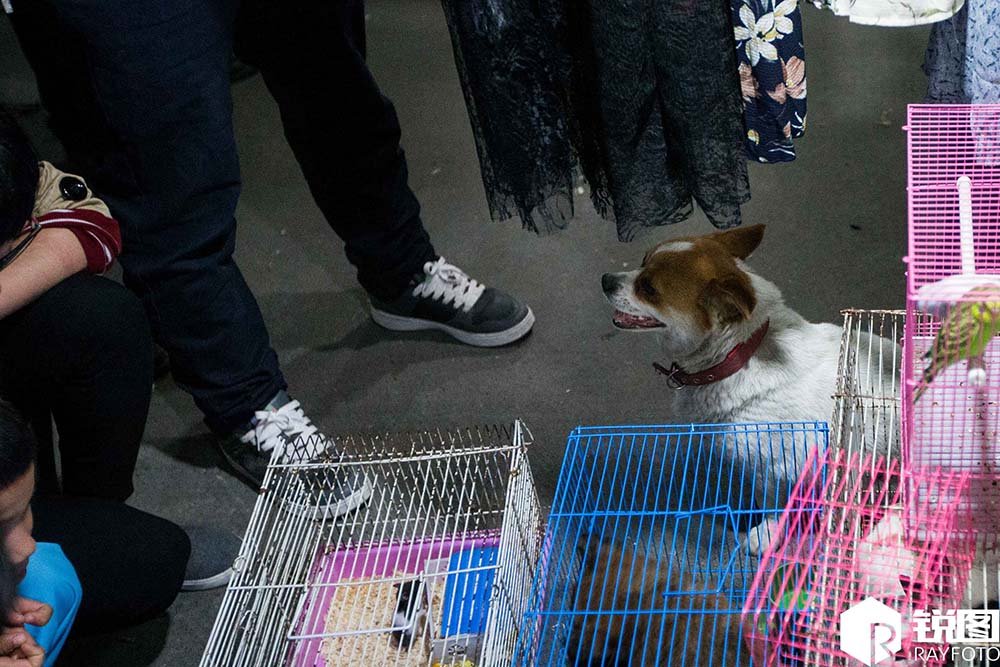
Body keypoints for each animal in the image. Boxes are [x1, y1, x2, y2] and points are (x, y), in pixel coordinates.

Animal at [600, 224, 900, 552]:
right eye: (642, 260)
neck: (740, 354)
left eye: (648, 288)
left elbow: (772, 503)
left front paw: (766, 534)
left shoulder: (778, 467)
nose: (605, 280)